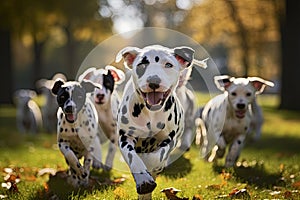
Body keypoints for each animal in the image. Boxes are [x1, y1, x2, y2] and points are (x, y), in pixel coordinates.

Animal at [115, 44, 206, 199]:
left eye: (168, 64)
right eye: (142, 64)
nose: (153, 81)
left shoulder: (169, 139)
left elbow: (158, 157)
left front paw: (151, 164)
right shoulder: (125, 137)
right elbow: (133, 157)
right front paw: (144, 180)